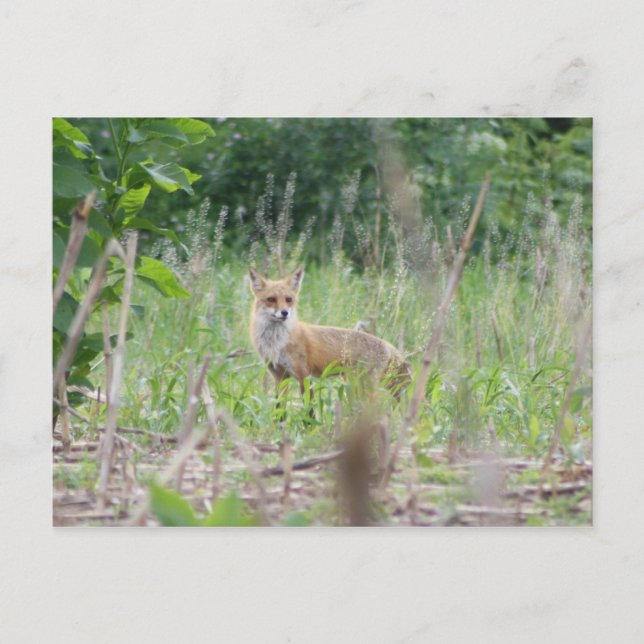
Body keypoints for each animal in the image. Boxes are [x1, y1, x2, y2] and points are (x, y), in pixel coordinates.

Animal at [248, 264, 411, 406]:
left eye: (289, 299)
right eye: (271, 299)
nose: (284, 313)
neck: (276, 343)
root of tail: (390, 347)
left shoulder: (304, 376)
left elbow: (309, 411)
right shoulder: (279, 377)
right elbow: (279, 411)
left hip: (364, 388)